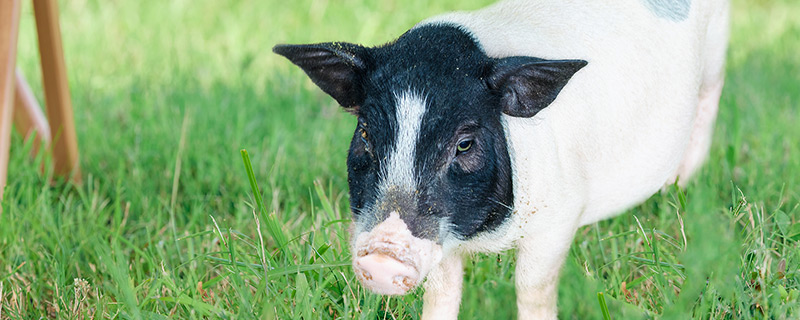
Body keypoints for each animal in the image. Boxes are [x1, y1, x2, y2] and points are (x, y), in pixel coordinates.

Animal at [272, 0, 728, 318]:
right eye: (366, 132)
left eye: (464, 143)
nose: (384, 255)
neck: (484, 237)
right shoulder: (442, 240)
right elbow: (442, 293)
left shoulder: (558, 216)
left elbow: (532, 290)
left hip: (717, 53)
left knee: (708, 105)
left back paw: (681, 188)